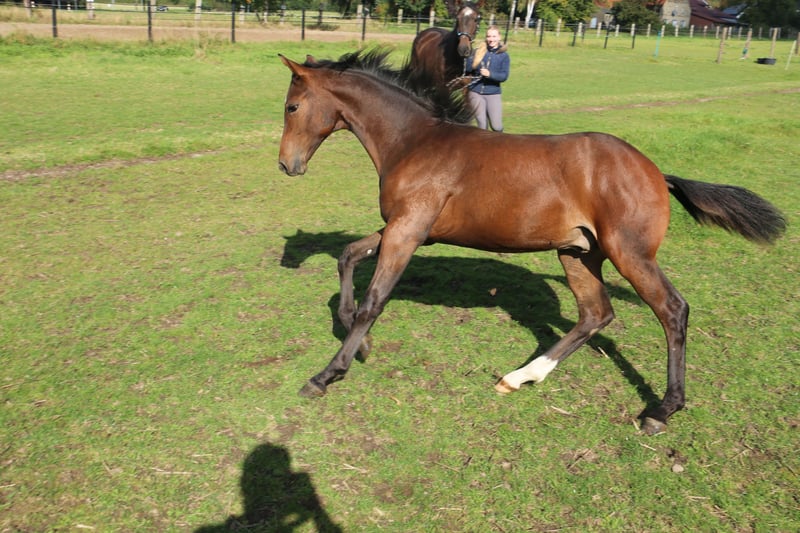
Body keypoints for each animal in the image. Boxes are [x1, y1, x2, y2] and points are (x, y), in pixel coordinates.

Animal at [277, 49, 786, 435]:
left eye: (292, 108)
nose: (286, 165)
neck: (414, 141)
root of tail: (657, 173)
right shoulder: (407, 229)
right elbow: (347, 256)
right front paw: (358, 343)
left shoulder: (408, 231)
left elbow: (374, 300)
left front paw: (326, 374)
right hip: (578, 252)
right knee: (596, 313)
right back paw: (520, 377)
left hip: (630, 253)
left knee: (672, 310)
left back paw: (662, 409)